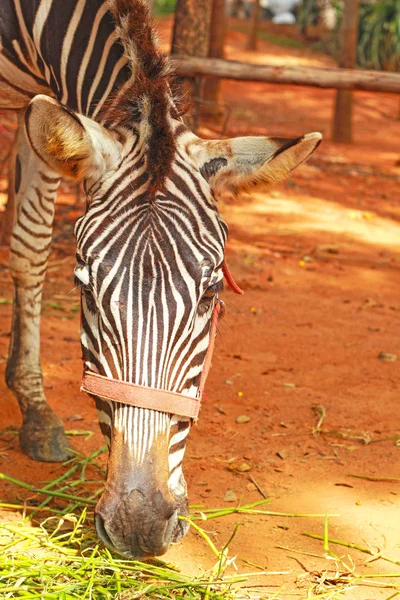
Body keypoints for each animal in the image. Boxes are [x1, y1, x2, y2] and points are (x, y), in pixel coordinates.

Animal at [0, 0, 320, 556]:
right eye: (83, 288)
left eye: (211, 292)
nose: (138, 524)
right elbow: (26, 245)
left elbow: (28, 243)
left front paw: (33, 407)